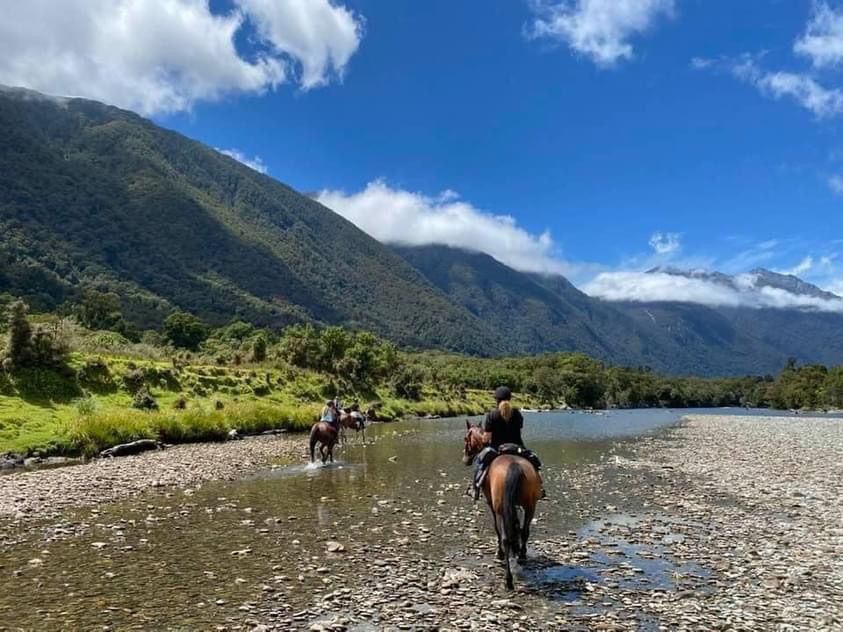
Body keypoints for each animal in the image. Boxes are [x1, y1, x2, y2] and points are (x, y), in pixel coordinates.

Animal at [462, 422, 540, 592]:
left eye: (466, 438)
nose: (465, 459)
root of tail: (514, 465)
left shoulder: (492, 505)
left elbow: (497, 529)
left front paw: (499, 553)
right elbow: (517, 528)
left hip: (500, 509)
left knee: (505, 537)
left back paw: (508, 579)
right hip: (530, 506)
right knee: (524, 531)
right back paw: (521, 556)